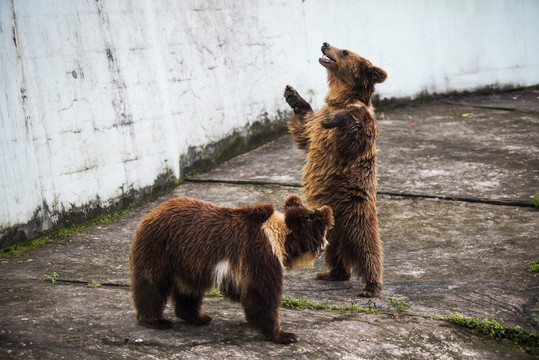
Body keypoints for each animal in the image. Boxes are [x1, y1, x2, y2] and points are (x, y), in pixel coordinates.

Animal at [131, 194, 334, 344]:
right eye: (324, 233)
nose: (327, 245)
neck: (281, 239)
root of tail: (153, 211)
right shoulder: (259, 255)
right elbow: (263, 294)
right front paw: (285, 335)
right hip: (159, 248)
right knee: (151, 284)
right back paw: (155, 319)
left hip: (187, 261)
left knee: (189, 289)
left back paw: (198, 317)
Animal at [284, 42, 386, 298]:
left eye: (346, 51)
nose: (325, 44)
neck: (340, 98)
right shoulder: (314, 125)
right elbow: (306, 129)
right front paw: (293, 95)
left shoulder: (363, 125)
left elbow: (352, 134)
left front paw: (335, 120)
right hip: (330, 228)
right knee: (336, 252)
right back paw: (331, 273)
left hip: (356, 212)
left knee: (368, 247)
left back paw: (371, 287)